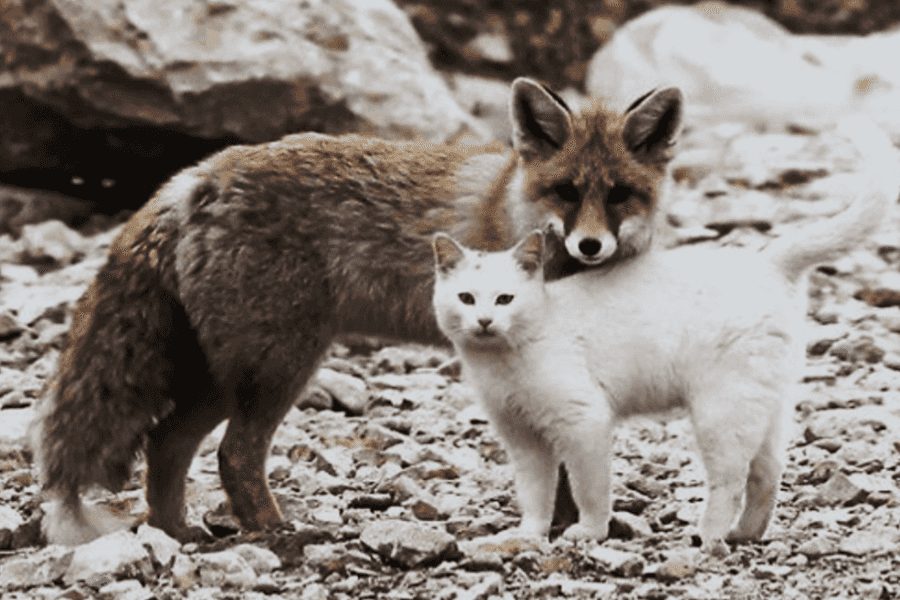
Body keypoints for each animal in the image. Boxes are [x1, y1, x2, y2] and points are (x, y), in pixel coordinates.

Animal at [30, 77, 683, 545]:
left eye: (620, 195)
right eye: (567, 192)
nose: (590, 246)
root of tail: (192, 177)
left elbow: (567, 464)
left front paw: (569, 523)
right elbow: (565, 464)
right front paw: (570, 526)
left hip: (223, 377)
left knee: (167, 443)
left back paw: (177, 532)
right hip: (278, 367)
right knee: (233, 454)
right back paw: (273, 531)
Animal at [431, 116, 900, 555]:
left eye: (505, 299)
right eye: (467, 298)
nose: (484, 321)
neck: (502, 361)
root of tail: (766, 262)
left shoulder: (584, 423)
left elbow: (589, 490)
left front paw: (589, 533)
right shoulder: (524, 441)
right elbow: (534, 497)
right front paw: (527, 536)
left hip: (721, 413)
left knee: (730, 480)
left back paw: (709, 538)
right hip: (764, 408)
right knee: (768, 473)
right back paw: (746, 534)